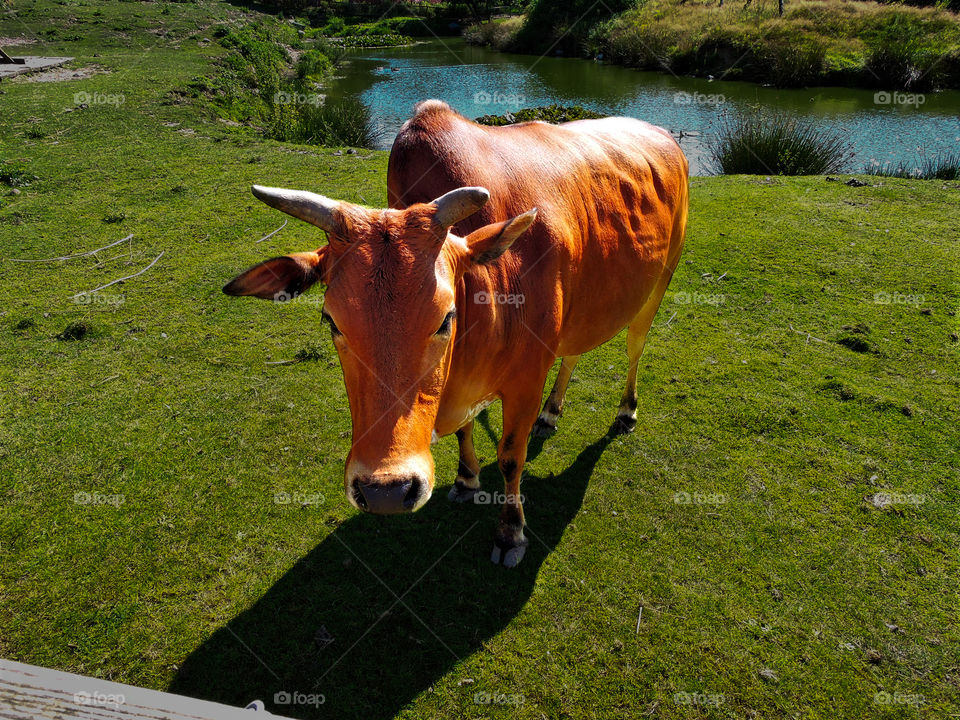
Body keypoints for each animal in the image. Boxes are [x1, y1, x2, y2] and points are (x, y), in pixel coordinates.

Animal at [224, 100, 688, 567]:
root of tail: (663, 136)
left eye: (447, 317)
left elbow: (511, 457)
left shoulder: (526, 381)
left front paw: (510, 531)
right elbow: (467, 431)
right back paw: (551, 413)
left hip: (659, 283)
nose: (386, 491)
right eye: (331, 321)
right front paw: (466, 480)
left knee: (635, 348)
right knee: (574, 351)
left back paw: (625, 411)